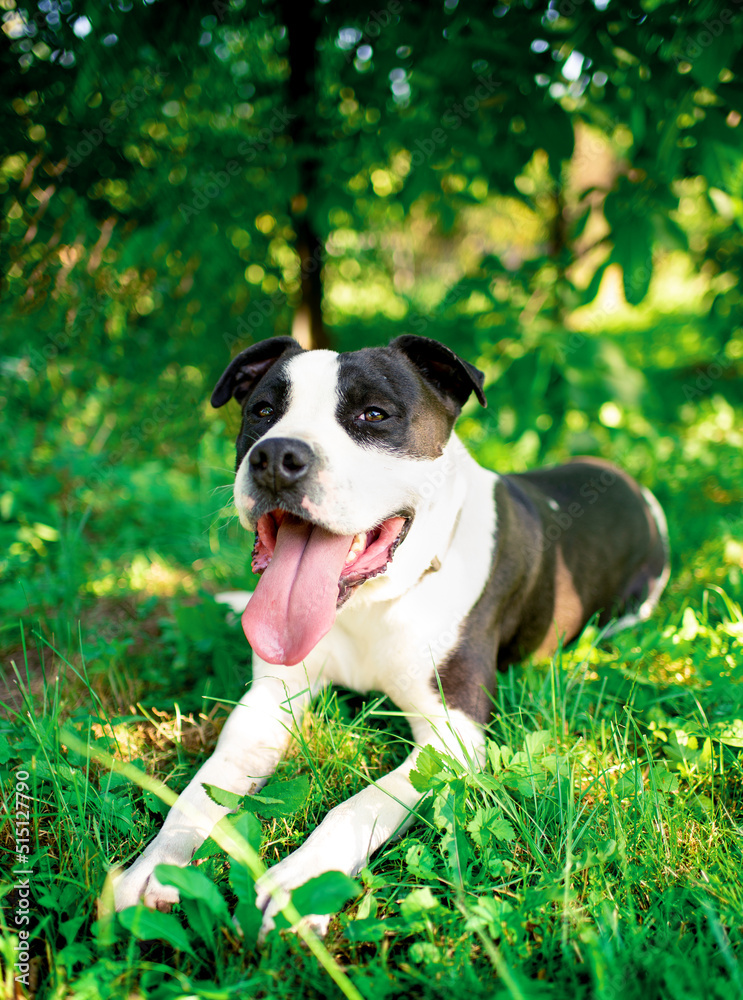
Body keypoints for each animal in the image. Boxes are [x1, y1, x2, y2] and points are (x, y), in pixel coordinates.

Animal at [113, 334, 672, 928]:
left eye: (373, 415)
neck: (369, 603)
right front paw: (156, 863)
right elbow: (202, 788)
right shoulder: (269, 700)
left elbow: (361, 805)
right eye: (262, 412)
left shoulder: (453, 732)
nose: (276, 456)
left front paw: (303, 881)